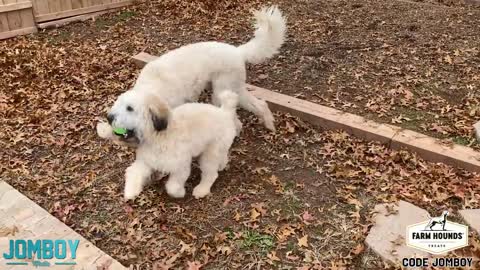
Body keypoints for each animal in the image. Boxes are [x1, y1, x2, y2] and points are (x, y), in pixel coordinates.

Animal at [97, 90, 240, 198]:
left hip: (210, 154)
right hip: (218, 148)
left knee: (211, 174)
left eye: (129, 108)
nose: (109, 118)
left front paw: (180, 193)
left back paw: (202, 189)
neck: (158, 136)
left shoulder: (181, 166)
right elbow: (133, 172)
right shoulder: (146, 161)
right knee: (222, 157)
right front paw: (131, 191)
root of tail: (224, 112)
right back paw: (221, 165)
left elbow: (172, 186)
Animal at [107, 5, 286, 132]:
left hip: (222, 90)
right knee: (260, 104)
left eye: (130, 108)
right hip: (233, 89)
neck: (153, 89)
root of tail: (237, 50)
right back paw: (269, 123)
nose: (109, 118)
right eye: (118, 104)